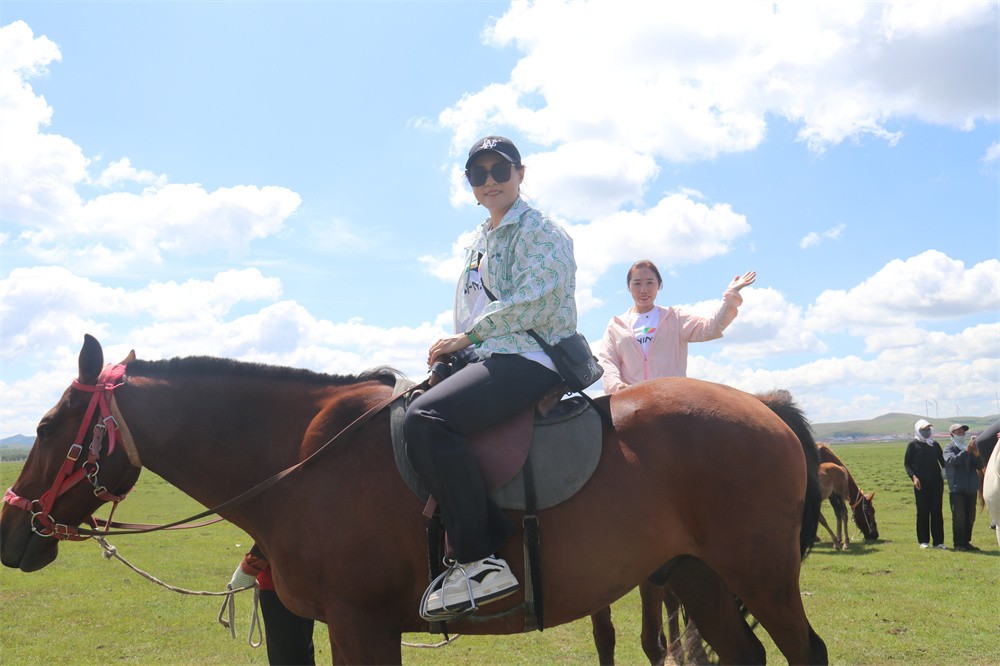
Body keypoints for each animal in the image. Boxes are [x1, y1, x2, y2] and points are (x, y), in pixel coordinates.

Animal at [1, 335, 828, 664]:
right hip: (698, 574)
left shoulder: (359, 624)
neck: (301, 458)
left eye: (43, 427)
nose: (11, 529)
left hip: (757, 575)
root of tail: (763, 406)